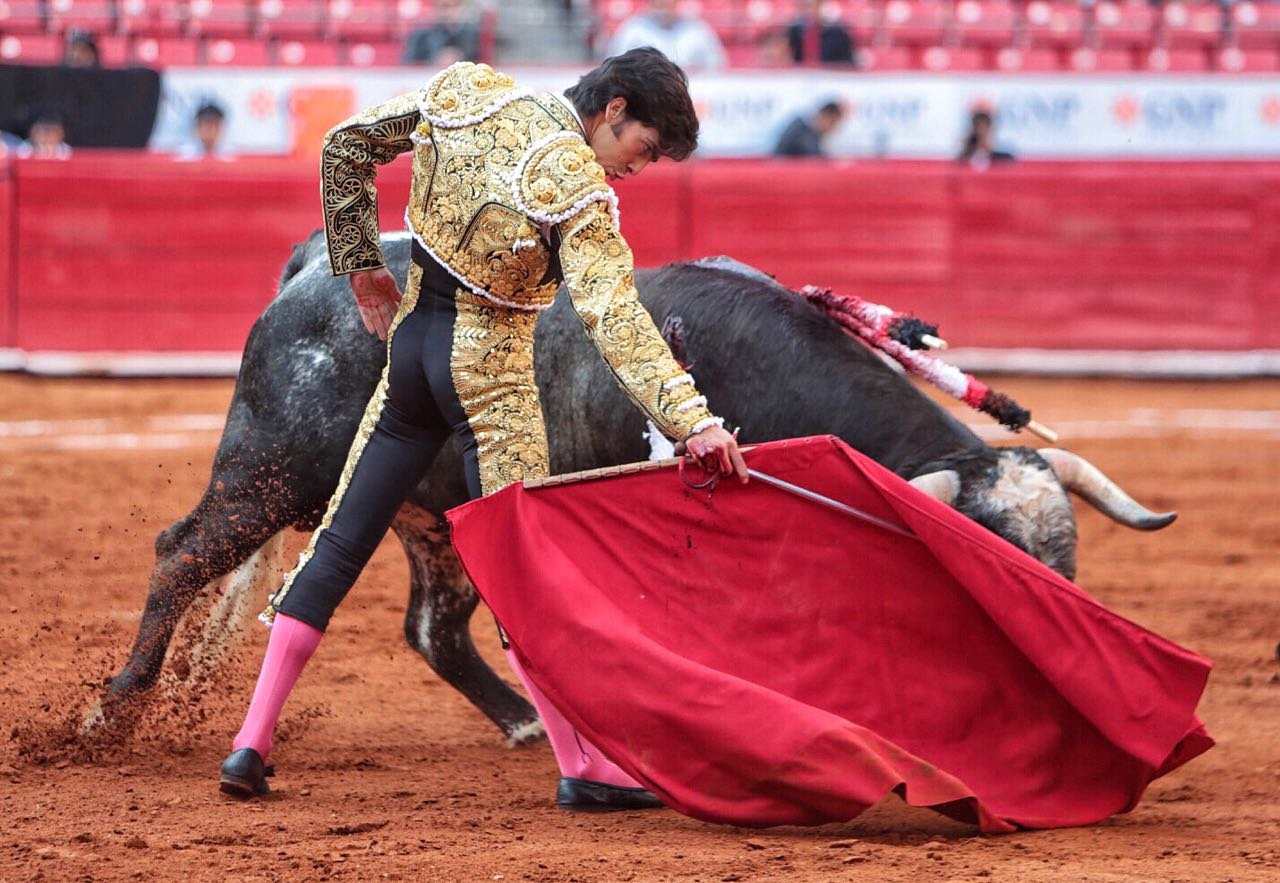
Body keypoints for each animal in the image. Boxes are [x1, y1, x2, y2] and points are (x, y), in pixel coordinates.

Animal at [87, 231, 1174, 746]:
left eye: (1067, 559)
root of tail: (315, 269)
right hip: (271, 467)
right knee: (181, 551)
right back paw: (115, 708)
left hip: (432, 515)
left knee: (433, 630)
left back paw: (527, 720)